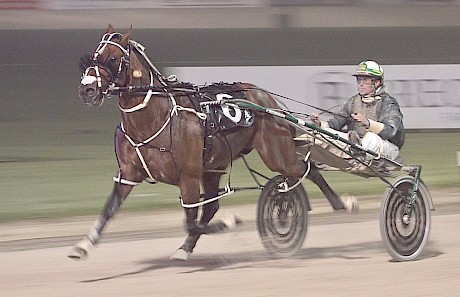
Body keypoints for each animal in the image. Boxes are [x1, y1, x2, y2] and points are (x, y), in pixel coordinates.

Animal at [67, 25, 348, 260]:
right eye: (91, 58)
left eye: (111, 59)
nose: (86, 90)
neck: (154, 118)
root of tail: (267, 99)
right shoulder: (128, 174)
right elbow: (109, 210)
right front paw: (82, 245)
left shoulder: (188, 175)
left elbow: (191, 220)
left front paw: (230, 221)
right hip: (215, 167)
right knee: (215, 204)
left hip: (276, 154)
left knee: (306, 169)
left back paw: (342, 203)